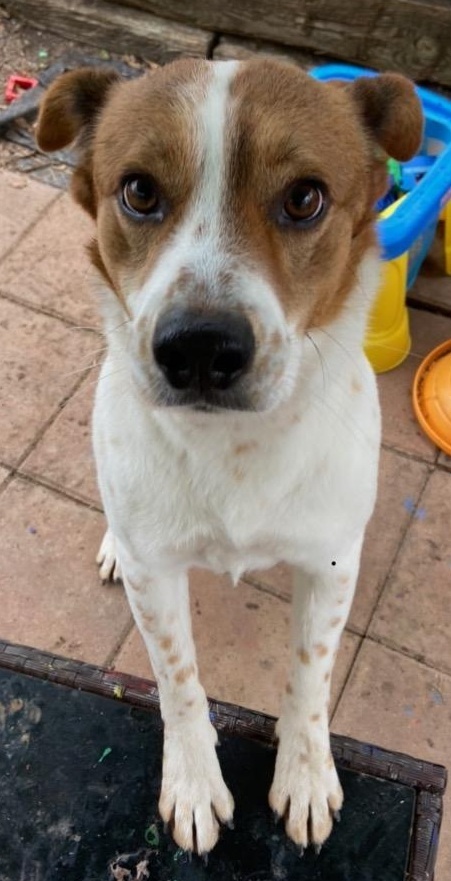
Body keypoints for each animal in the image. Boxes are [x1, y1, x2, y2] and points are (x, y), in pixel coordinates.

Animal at [37, 58, 426, 856]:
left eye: (304, 198)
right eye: (139, 191)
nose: (198, 347)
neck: (233, 449)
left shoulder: (330, 563)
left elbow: (309, 678)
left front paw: (304, 774)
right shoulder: (157, 575)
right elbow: (177, 679)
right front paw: (192, 780)